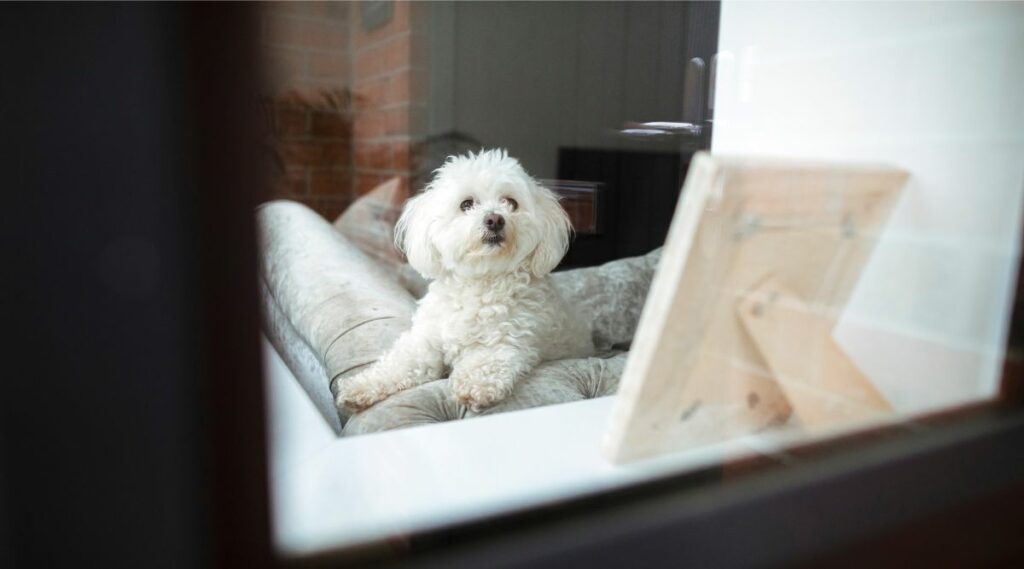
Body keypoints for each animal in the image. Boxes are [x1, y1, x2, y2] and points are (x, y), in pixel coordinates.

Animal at [337, 149, 593, 411]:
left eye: (511, 203)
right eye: (466, 204)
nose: (495, 220)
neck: (479, 281)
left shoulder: (506, 342)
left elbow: (484, 362)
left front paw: (475, 386)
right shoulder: (425, 341)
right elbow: (401, 362)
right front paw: (362, 385)